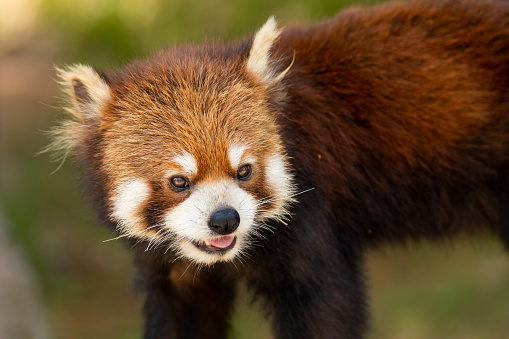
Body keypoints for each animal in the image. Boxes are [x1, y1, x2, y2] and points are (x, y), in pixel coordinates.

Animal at [49, 0, 508, 338]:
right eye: (179, 181)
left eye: (244, 170)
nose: (224, 219)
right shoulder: (170, 270)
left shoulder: (312, 222)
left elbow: (325, 306)